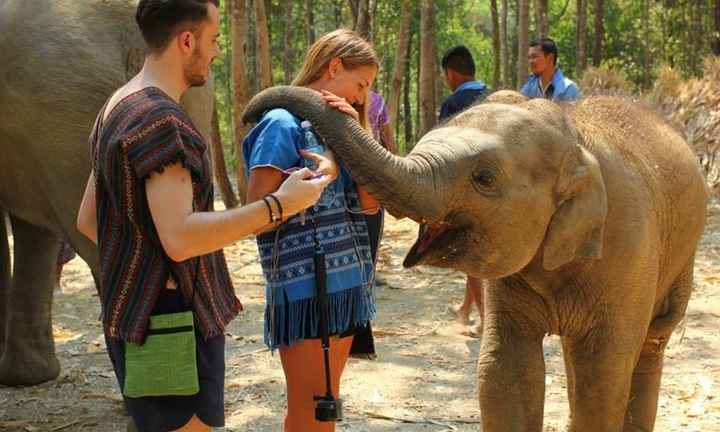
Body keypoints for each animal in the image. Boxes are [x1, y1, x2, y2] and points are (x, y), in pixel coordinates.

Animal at [243, 86, 708, 430]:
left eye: (484, 178)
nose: (251, 113)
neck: (572, 136)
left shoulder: (628, 248)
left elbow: (603, 376)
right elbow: (504, 369)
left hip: (682, 255)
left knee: (649, 344)